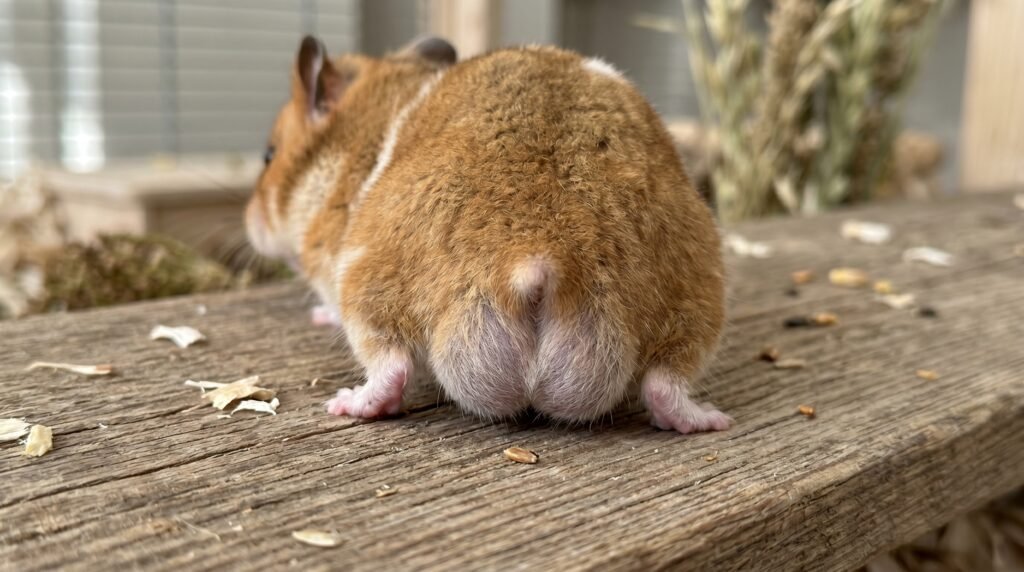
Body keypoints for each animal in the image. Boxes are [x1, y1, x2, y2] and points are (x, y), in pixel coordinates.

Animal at [246, 36, 731, 434]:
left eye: (269, 155)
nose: (249, 223)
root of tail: (538, 257)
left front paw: (318, 316)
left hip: (368, 283)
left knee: (390, 365)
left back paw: (346, 402)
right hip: (696, 298)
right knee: (665, 382)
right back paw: (710, 420)